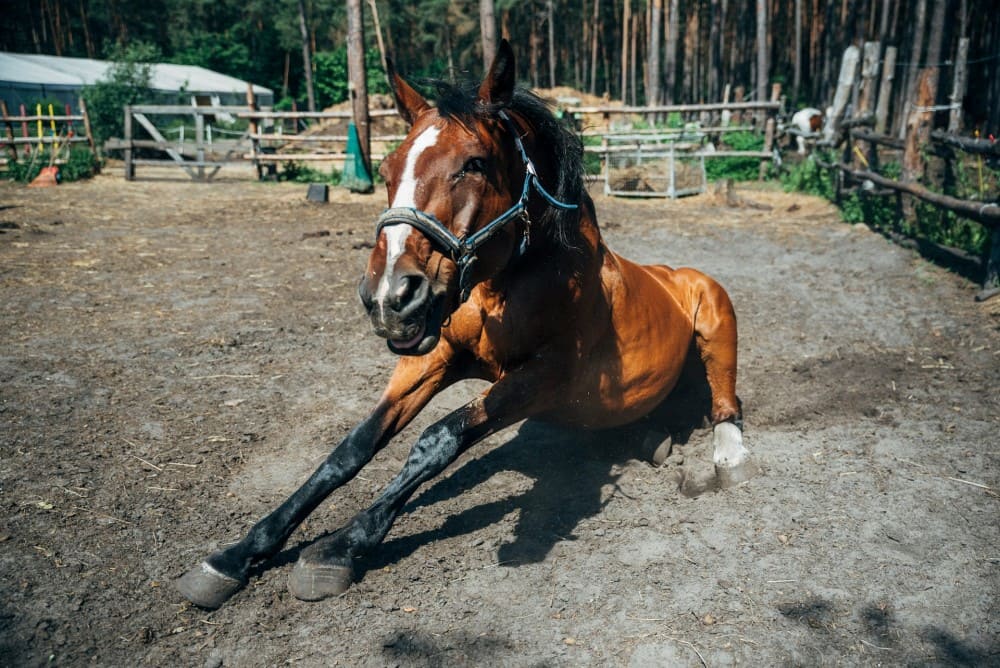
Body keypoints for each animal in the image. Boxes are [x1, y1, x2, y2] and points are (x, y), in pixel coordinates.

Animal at [177, 40, 754, 609]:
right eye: (386, 170)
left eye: (474, 164)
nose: (389, 297)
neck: (514, 283)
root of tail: (676, 274)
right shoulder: (433, 359)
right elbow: (352, 449)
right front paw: (237, 554)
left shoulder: (542, 377)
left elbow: (438, 439)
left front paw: (338, 548)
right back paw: (653, 439)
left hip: (717, 318)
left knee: (726, 402)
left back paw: (725, 458)